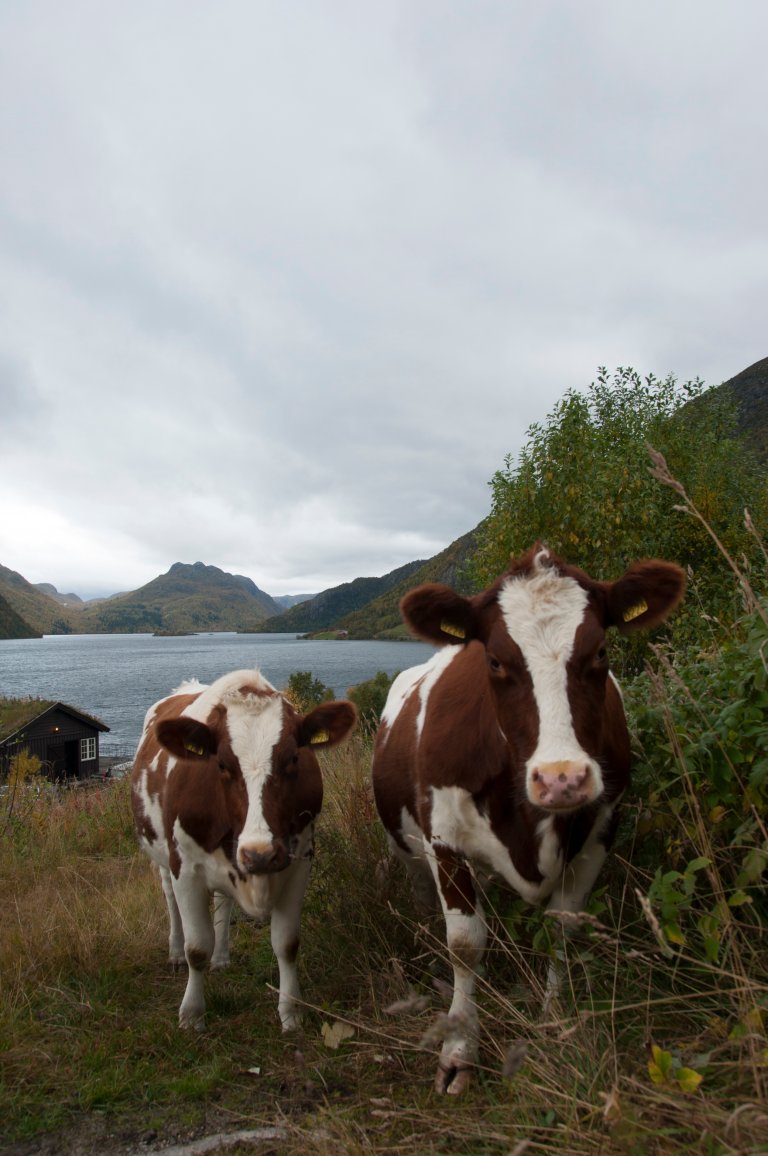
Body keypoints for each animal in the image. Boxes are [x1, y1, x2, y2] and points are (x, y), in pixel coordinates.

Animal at [131, 665, 356, 1035]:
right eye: (221, 764)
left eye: (293, 757)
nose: (259, 854)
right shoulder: (185, 869)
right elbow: (197, 947)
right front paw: (192, 1014)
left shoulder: (299, 863)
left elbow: (287, 943)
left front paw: (291, 1012)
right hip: (162, 856)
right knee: (169, 900)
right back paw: (175, 952)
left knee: (223, 900)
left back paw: (222, 956)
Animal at [372, 541, 684, 1091]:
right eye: (495, 660)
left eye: (600, 652)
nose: (562, 779)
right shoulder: (444, 841)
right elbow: (465, 944)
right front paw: (459, 1050)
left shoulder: (602, 830)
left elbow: (563, 928)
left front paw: (555, 1021)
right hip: (407, 848)